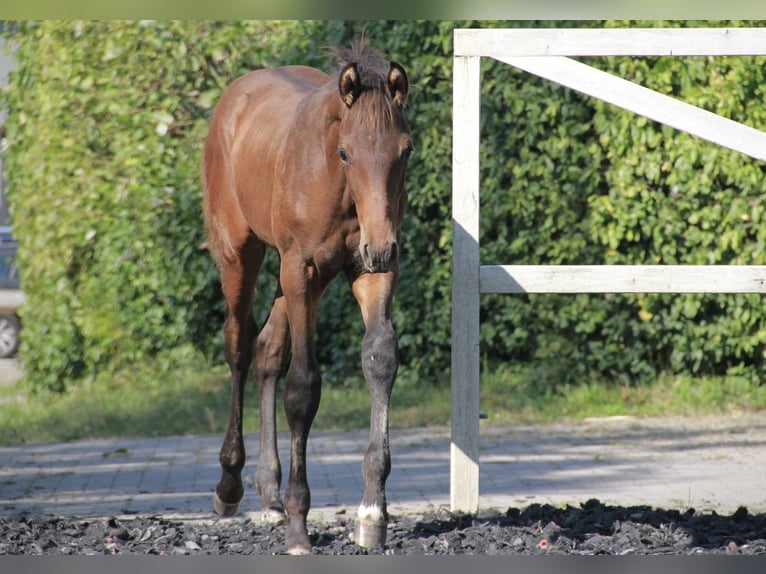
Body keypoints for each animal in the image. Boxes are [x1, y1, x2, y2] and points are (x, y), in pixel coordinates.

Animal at [201, 39, 412, 552]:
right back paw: (230, 485)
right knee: (239, 346)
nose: (383, 246)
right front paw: (300, 525)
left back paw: (269, 495)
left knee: (267, 352)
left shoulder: (369, 270)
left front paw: (372, 512)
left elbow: (380, 359)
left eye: (406, 150)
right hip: (242, 255)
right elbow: (303, 388)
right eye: (345, 152)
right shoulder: (303, 269)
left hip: (285, 276)